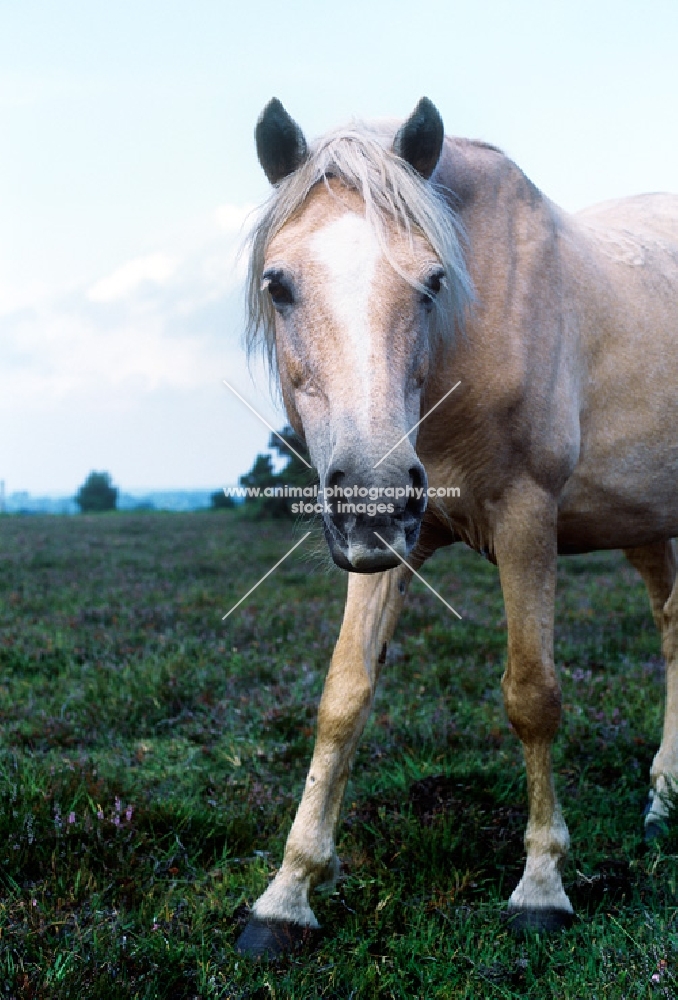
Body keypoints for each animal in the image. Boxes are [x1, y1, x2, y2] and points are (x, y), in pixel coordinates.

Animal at [236, 97, 678, 956]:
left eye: (433, 282)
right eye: (280, 285)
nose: (373, 496)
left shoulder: (528, 521)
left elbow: (532, 695)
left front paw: (541, 885)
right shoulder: (388, 552)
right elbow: (343, 699)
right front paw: (287, 894)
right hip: (648, 519)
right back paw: (664, 801)